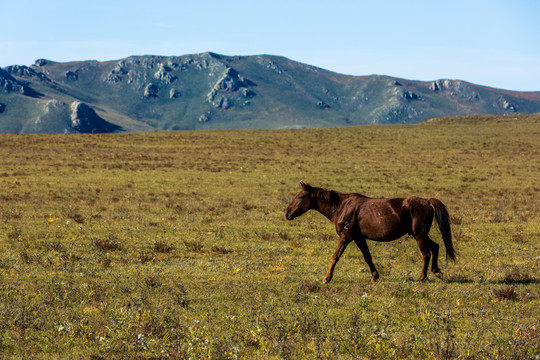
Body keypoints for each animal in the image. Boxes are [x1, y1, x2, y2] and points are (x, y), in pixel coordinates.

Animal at [284, 183, 454, 284]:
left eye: (300, 196)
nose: (287, 213)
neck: (341, 207)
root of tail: (426, 201)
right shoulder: (359, 238)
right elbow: (367, 257)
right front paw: (374, 276)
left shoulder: (345, 237)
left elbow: (335, 256)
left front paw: (326, 278)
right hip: (419, 234)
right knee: (436, 247)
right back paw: (437, 272)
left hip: (419, 234)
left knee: (426, 253)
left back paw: (422, 277)